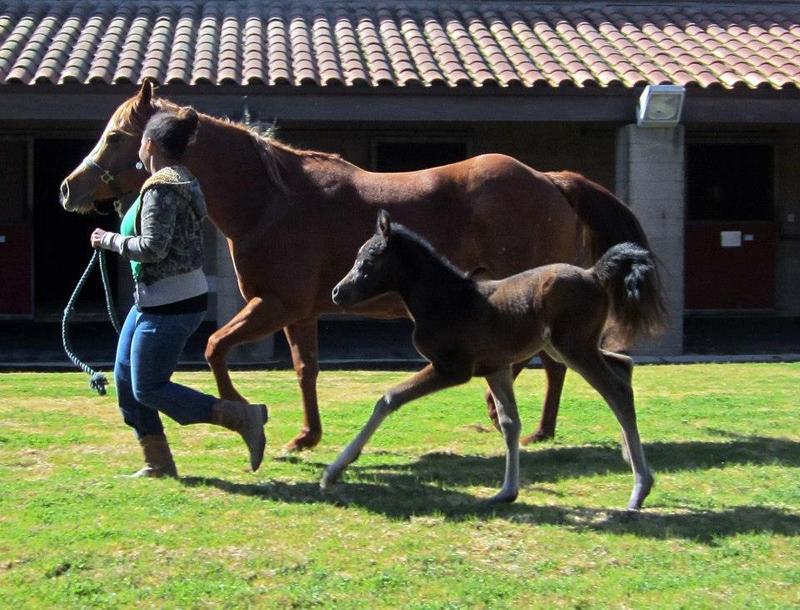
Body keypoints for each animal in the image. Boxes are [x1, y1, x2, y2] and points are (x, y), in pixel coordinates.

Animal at [326, 211, 668, 506]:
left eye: (369, 258)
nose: (338, 292)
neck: (447, 299)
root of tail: (594, 273)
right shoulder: (496, 367)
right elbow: (510, 422)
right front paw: (507, 491)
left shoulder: (452, 368)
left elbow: (389, 398)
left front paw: (334, 471)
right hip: (568, 346)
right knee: (623, 366)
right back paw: (631, 461)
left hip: (574, 347)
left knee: (616, 391)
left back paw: (640, 488)